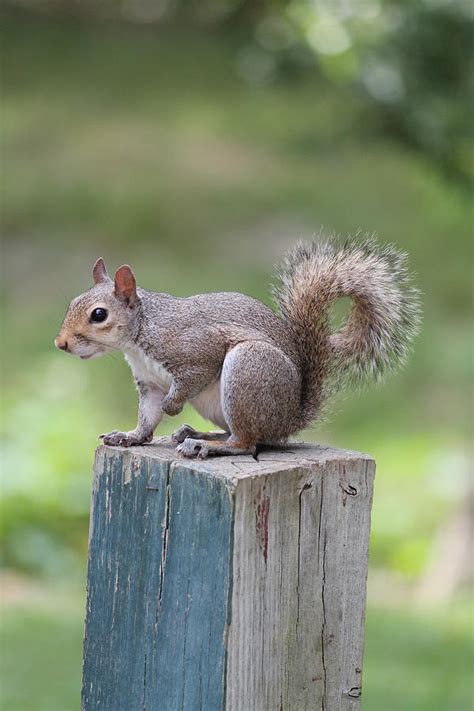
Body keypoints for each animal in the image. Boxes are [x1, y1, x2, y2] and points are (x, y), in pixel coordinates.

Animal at [55, 239, 422, 458]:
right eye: (72, 302)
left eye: (98, 315)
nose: (61, 343)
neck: (141, 334)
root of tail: (291, 417)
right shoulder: (150, 384)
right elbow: (148, 418)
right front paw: (130, 436)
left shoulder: (196, 351)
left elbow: (188, 381)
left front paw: (174, 407)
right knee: (245, 435)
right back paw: (196, 434)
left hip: (248, 368)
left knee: (246, 443)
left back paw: (206, 445)